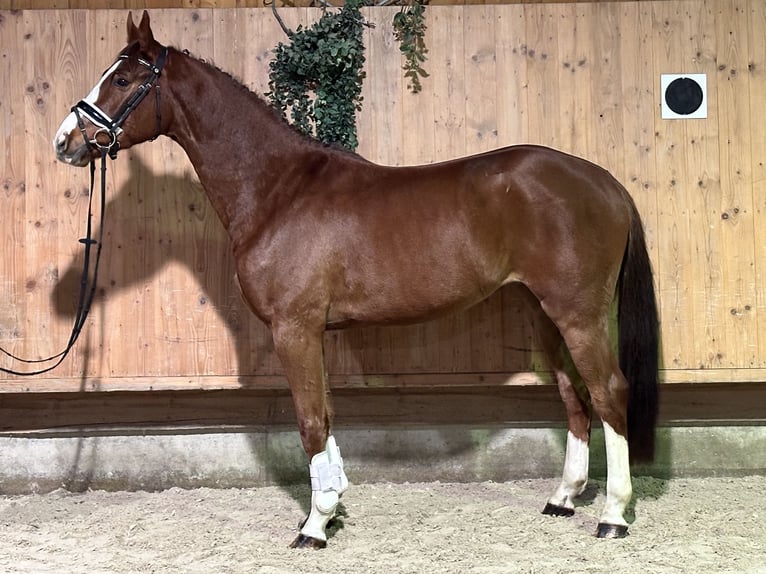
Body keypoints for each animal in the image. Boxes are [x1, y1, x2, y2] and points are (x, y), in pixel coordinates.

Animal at [55, 12, 660, 552]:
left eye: (124, 79)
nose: (66, 141)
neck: (278, 190)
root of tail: (603, 181)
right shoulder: (312, 332)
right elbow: (325, 413)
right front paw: (333, 503)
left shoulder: (294, 328)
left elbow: (309, 420)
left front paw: (315, 525)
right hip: (544, 313)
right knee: (575, 395)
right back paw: (563, 497)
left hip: (578, 314)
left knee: (609, 391)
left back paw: (613, 516)